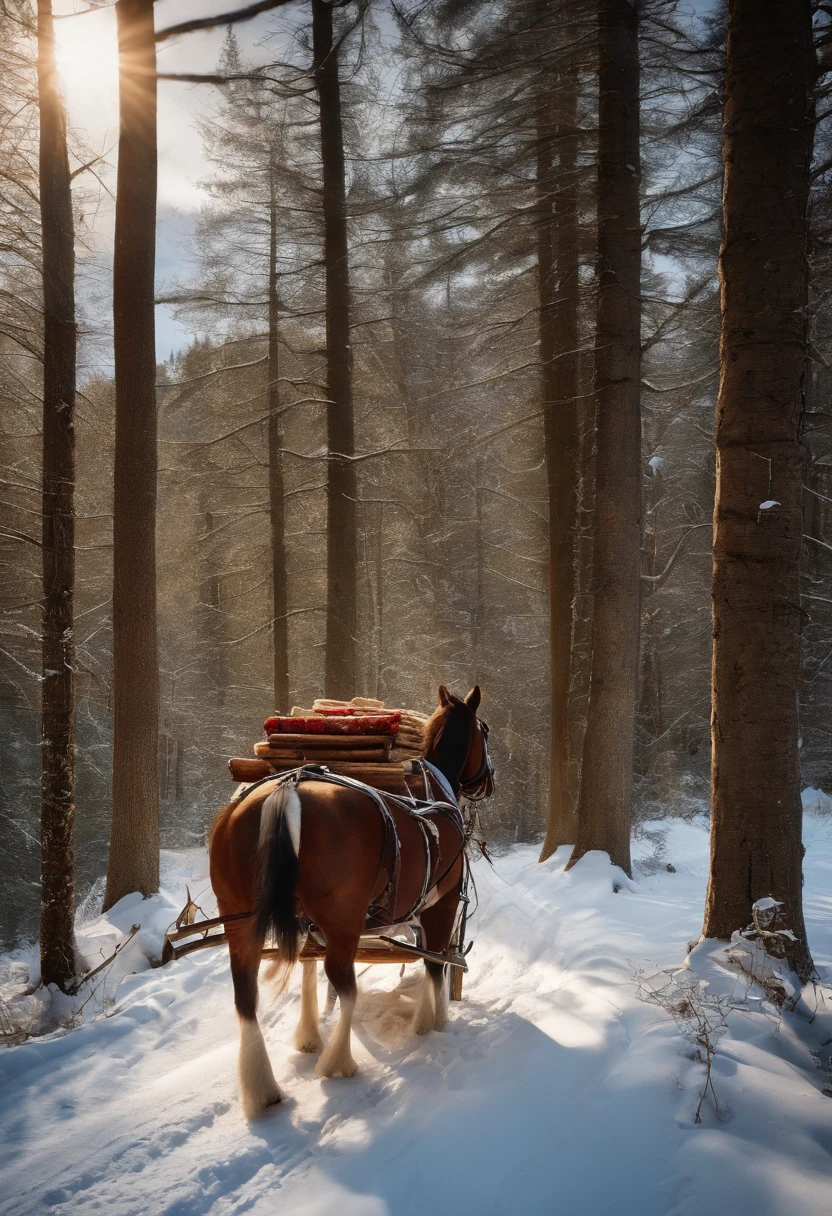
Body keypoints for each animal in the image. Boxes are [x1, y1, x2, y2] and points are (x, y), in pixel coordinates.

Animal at [209, 680, 493, 1113]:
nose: (490, 781)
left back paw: (263, 1089)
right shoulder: (440, 907)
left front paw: (308, 1034)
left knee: (247, 996)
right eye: (486, 731)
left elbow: (308, 968)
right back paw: (339, 1063)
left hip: (240, 919)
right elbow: (436, 963)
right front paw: (432, 1021)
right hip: (343, 921)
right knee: (345, 984)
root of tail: (288, 789)